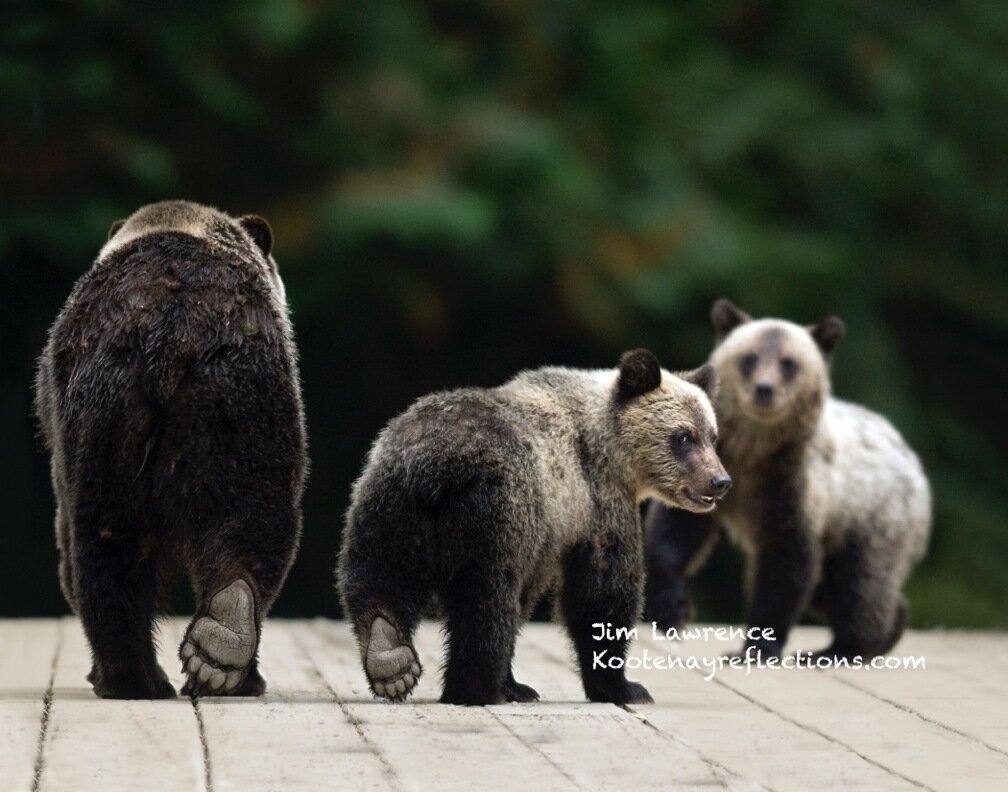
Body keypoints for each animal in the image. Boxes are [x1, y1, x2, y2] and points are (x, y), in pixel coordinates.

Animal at [34, 202, 306, 697]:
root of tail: (174, 328)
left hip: (110, 411)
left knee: (105, 540)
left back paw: (130, 675)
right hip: (240, 397)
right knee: (256, 514)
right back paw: (224, 644)